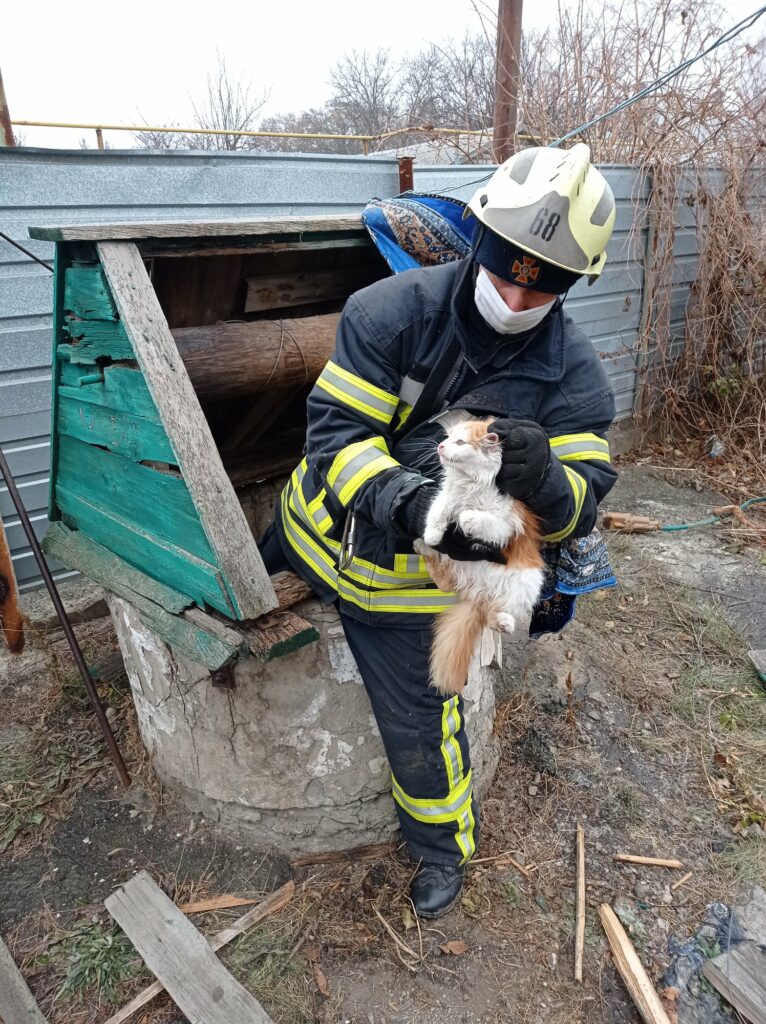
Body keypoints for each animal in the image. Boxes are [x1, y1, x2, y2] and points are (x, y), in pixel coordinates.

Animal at [413, 417, 544, 696]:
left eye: (460, 442)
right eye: (448, 438)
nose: (440, 446)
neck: (469, 482)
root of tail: (478, 594)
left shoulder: (505, 522)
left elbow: (477, 518)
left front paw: (466, 519)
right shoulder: (446, 496)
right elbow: (437, 511)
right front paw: (432, 535)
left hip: (527, 583)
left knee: (497, 614)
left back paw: (505, 622)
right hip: (454, 565)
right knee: (445, 581)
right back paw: (422, 546)